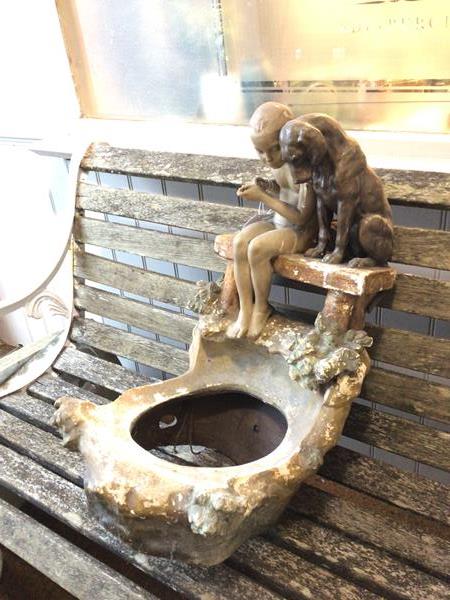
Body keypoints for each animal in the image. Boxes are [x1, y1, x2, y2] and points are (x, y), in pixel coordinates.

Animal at [280, 115, 392, 268]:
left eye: (295, 158)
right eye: (285, 160)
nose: (296, 181)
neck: (326, 164)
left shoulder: (345, 203)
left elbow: (341, 234)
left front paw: (335, 257)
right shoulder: (321, 202)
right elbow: (323, 231)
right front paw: (318, 250)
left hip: (370, 223)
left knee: (381, 260)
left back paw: (362, 261)